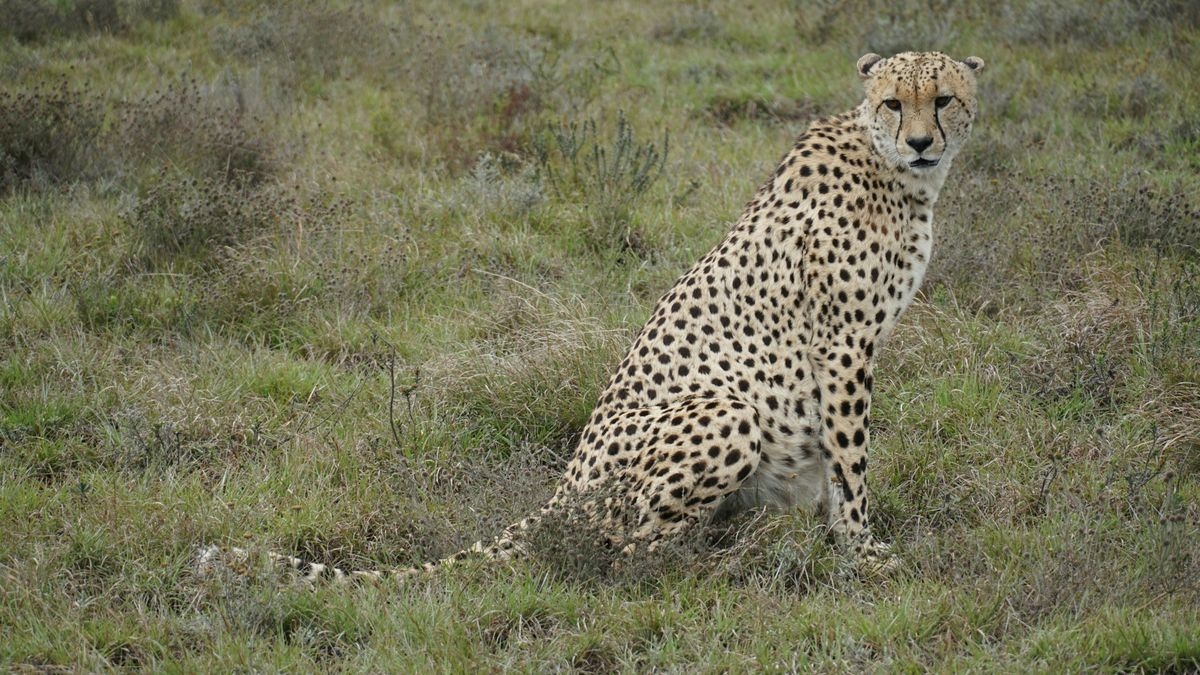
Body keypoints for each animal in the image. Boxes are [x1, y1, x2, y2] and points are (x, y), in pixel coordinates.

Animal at [198, 50, 985, 584]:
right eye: (894, 103)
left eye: (944, 99)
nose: (922, 142)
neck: (894, 173)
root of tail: (561, 491)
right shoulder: (845, 346)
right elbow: (850, 461)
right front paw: (863, 550)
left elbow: (837, 463)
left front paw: (842, 541)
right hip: (726, 410)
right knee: (627, 560)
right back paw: (726, 565)